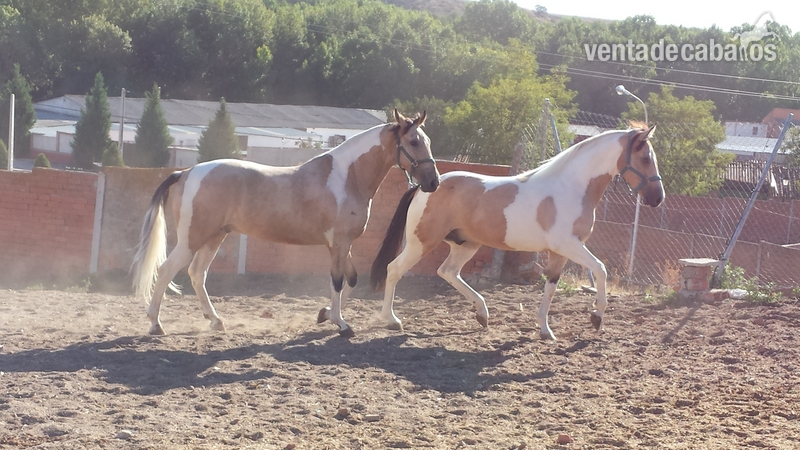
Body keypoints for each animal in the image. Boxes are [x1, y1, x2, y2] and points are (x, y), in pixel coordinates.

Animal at [132, 109, 440, 337]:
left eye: (428, 141)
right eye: (413, 142)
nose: (433, 182)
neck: (348, 176)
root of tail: (185, 172)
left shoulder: (341, 243)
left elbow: (350, 280)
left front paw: (324, 314)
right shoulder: (339, 242)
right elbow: (338, 281)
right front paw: (341, 324)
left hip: (215, 236)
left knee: (197, 274)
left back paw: (216, 321)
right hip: (192, 239)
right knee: (166, 270)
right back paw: (156, 324)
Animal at [371, 124, 663, 340]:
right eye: (645, 158)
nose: (657, 198)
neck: (571, 187)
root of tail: (425, 186)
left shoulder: (560, 252)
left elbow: (551, 287)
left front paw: (545, 330)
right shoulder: (569, 245)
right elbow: (601, 269)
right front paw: (597, 317)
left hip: (466, 244)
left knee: (447, 272)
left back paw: (482, 315)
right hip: (421, 242)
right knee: (394, 269)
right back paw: (392, 320)